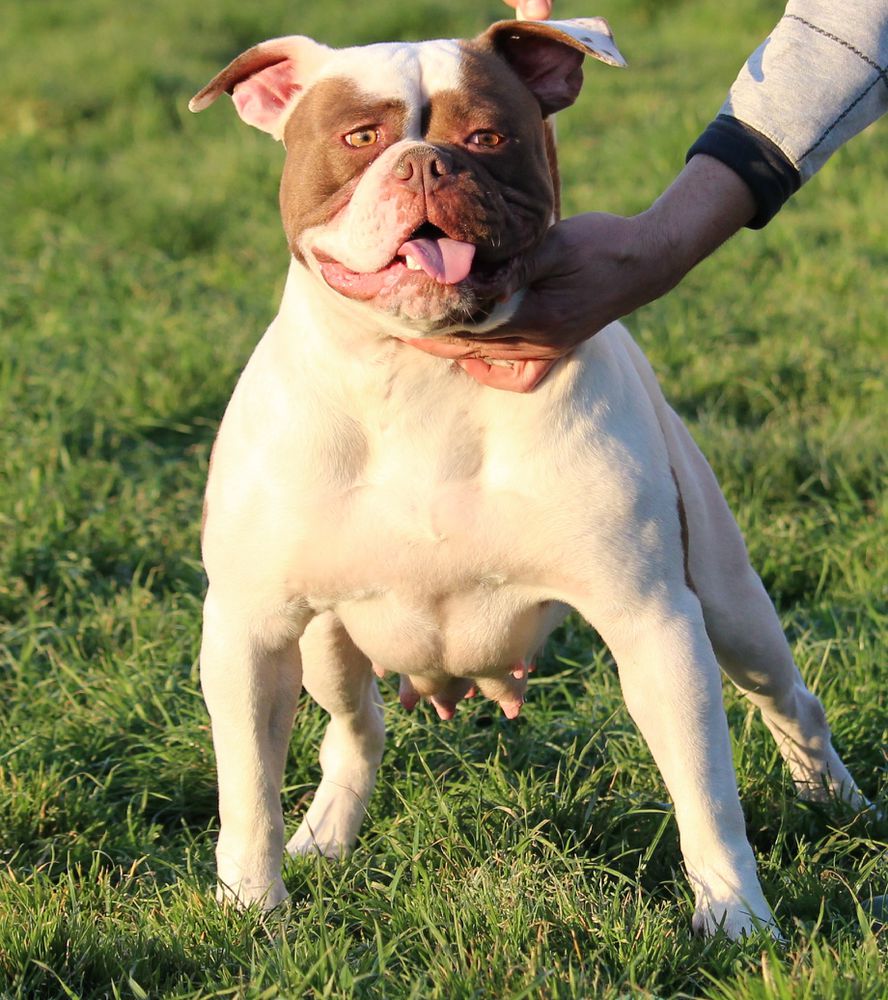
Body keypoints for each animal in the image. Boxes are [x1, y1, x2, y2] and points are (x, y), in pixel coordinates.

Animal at [191, 13, 864, 936]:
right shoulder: (250, 631)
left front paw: (736, 919)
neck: (423, 373)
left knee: (789, 701)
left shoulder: (654, 622)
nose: (426, 164)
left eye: (488, 137)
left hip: (733, 610)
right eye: (361, 138)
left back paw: (838, 802)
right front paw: (250, 911)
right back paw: (323, 839)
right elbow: (248, 795)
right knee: (358, 729)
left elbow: (705, 795)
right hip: (326, 646)